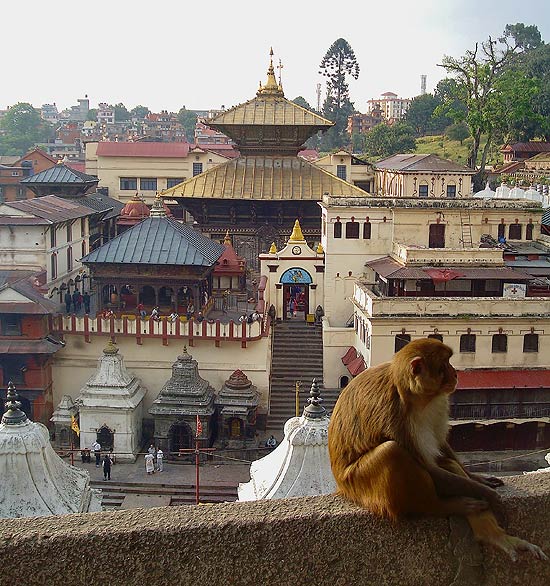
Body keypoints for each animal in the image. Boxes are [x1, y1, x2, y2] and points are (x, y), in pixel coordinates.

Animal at [330, 336, 548, 560]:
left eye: (450, 362)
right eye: (444, 365)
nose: (455, 373)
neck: (416, 397)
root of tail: (341, 486)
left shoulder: (438, 401)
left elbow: (440, 445)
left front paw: (479, 479)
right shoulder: (395, 415)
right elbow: (428, 468)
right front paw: (489, 495)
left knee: (447, 464)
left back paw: (494, 536)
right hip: (360, 486)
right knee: (391, 452)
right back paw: (441, 506)